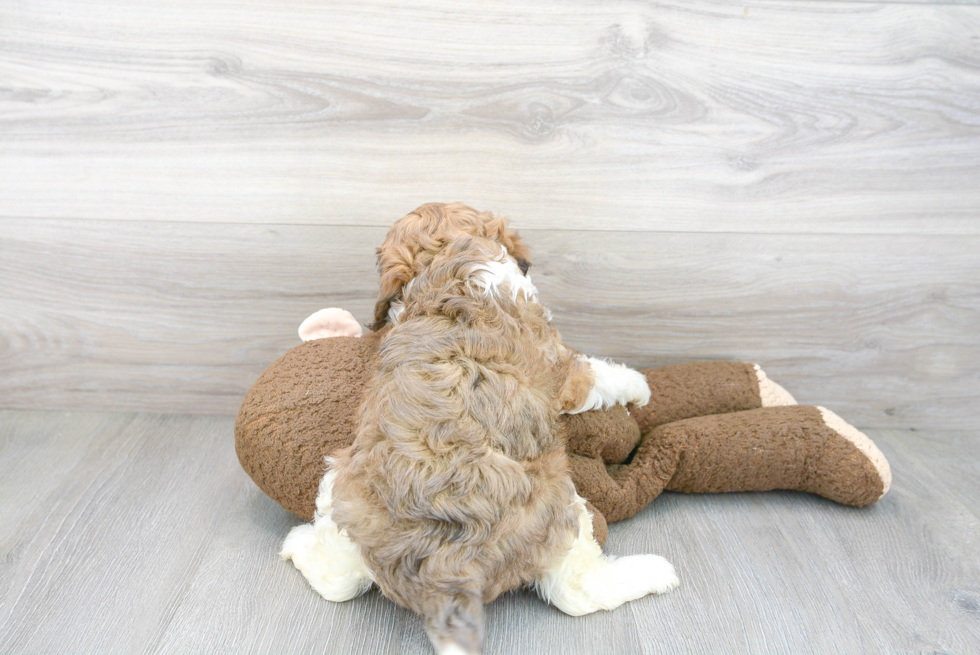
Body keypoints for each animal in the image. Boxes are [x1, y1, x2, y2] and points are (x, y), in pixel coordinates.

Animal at [284, 205, 676, 655]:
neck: (447, 262)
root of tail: (445, 571)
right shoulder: (563, 366)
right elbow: (596, 373)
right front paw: (639, 386)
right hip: (559, 505)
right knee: (575, 590)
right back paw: (653, 572)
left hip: (342, 485)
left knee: (339, 580)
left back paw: (296, 546)